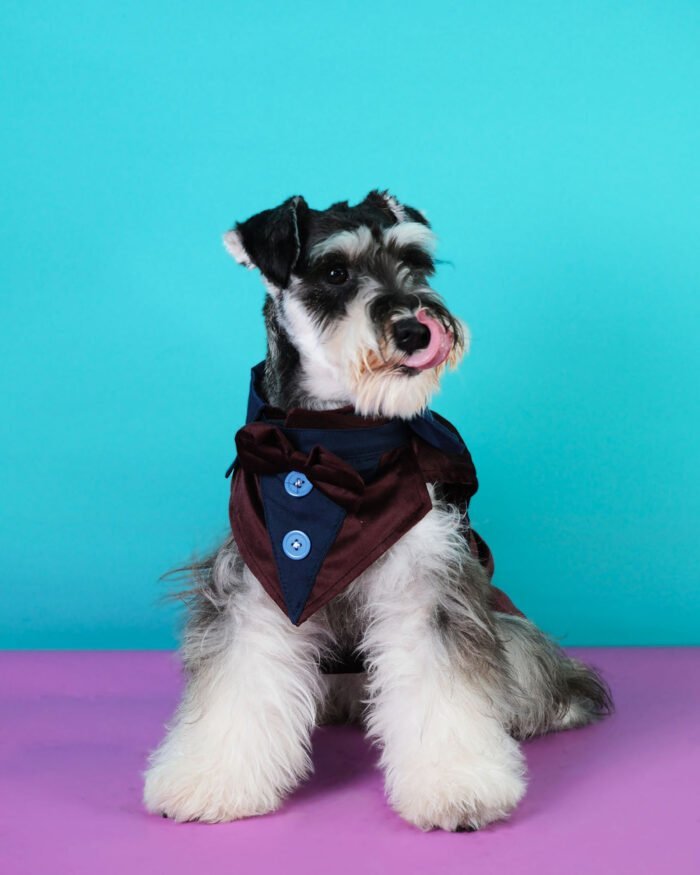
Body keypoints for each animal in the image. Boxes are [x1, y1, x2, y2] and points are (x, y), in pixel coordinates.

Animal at [144, 188, 612, 832]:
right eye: (335, 273)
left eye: (416, 262)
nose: (416, 329)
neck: (332, 445)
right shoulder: (254, 586)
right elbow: (239, 678)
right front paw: (209, 779)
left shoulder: (429, 584)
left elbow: (442, 684)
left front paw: (457, 786)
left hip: (512, 631)